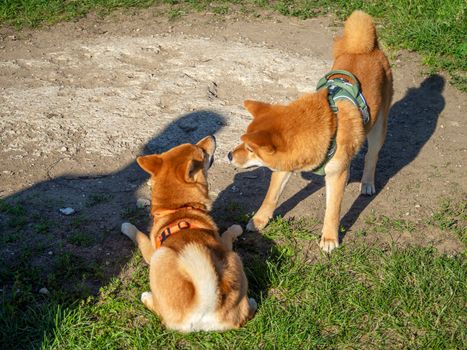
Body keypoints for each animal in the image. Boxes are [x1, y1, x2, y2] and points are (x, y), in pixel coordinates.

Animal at [122, 135, 258, 332]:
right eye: (202, 151)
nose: (212, 136)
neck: (178, 209)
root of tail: (205, 307)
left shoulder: (151, 253)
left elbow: (139, 235)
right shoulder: (222, 245)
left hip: (159, 257)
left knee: (160, 311)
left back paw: (147, 297)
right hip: (233, 259)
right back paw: (252, 302)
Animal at [229, 10, 394, 252]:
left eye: (251, 149)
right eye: (243, 143)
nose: (228, 155)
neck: (327, 130)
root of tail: (365, 49)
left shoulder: (335, 175)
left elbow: (332, 211)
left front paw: (330, 238)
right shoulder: (284, 166)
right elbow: (270, 197)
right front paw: (259, 220)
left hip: (378, 129)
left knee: (372, 156)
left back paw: (367, 182)